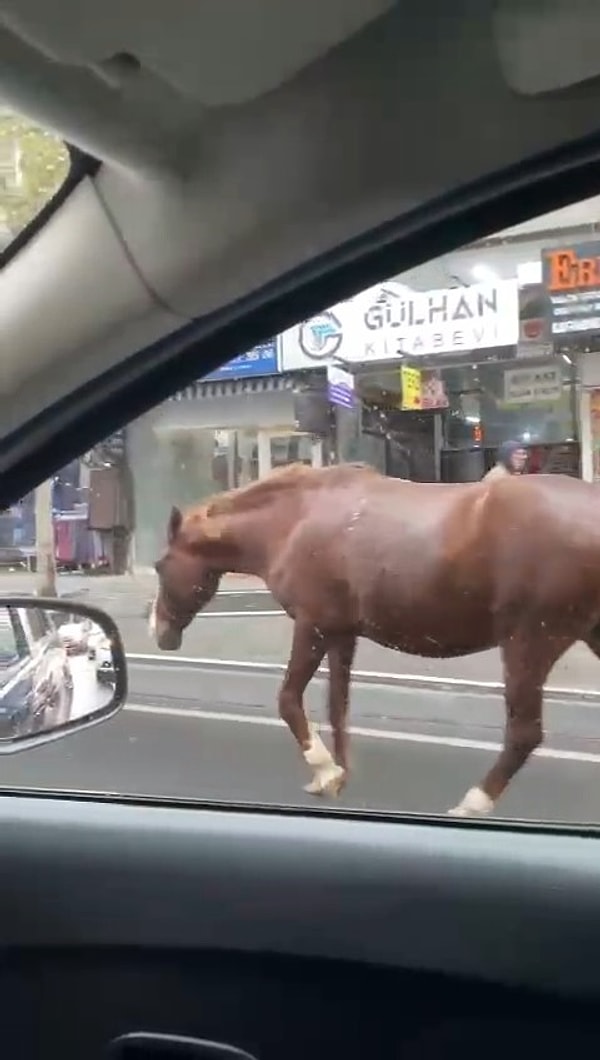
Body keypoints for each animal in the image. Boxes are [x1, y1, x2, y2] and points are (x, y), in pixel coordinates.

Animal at [149, 460, 600, 814]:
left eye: (159, 565)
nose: (158, 631)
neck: (294, 520)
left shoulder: (312, 626)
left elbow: (289, 699)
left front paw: (325, 770)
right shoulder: (341, 633)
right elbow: (338, 707)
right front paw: (338, 775)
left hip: (529, 643)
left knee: (524, 734)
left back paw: (471, 805)